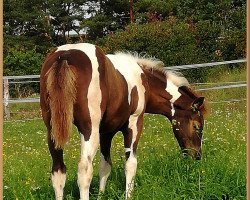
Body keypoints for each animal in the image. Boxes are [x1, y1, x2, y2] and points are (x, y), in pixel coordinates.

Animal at [40, 43, 206, 199]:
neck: (143, 80)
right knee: (84, 170)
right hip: (88, 130)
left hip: (53, 133)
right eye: (196, 126)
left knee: (58, 171)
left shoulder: (105, 133)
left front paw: (101, 196)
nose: (197, 156)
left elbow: (105, 166)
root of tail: (64, 57)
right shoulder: (134, 123)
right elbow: (130, 164)